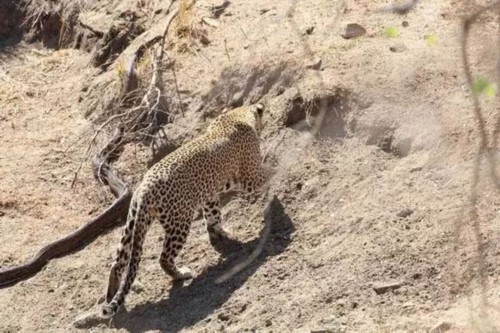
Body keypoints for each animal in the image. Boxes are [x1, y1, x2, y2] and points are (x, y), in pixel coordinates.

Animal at [100, 102, 270, 318]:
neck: (237, 114)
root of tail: (144, 188)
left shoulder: (210, 195)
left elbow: (213, 216)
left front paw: (219, 233)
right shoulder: (250, 176)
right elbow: (267, 172)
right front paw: (283, 166)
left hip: (132, 223)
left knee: (118, 263)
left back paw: (111, 296)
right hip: (179, 222)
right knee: (163, 258)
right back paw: (181, 274)